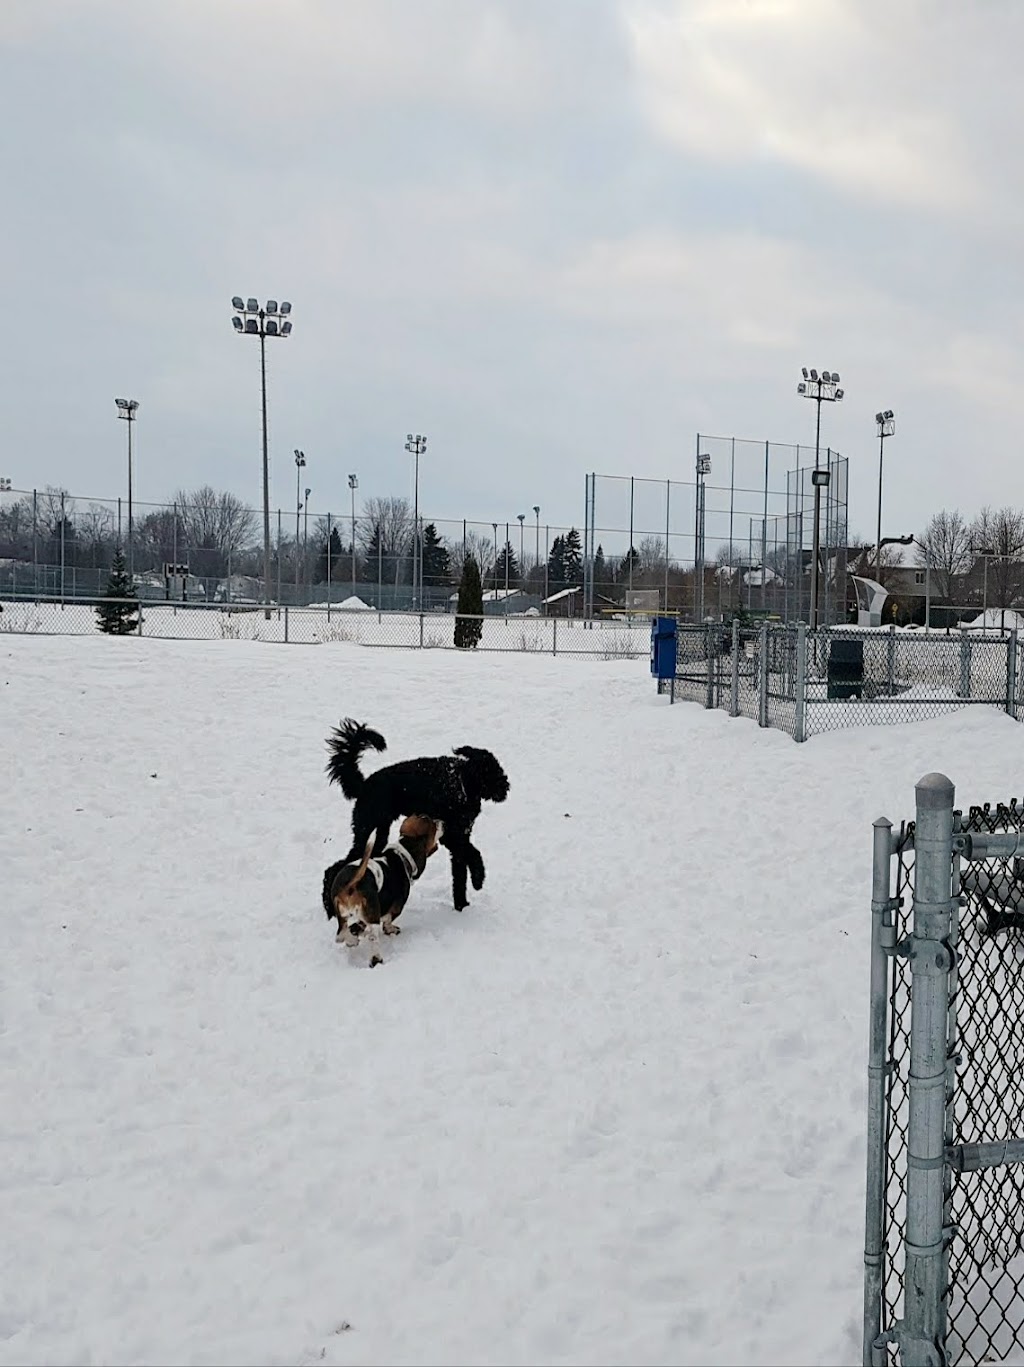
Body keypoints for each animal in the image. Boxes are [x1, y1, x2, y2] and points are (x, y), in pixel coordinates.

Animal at [325, 721, 508, 913]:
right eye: (492, 770)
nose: (505, 785)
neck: (462, 782)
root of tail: (364, 785)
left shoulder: (458, 837)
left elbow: (459, 874)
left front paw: (461, 905)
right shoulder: (453, 836)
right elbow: (473, 854)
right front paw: (478, 879)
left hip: (378, 833)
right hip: (366, 829)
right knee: (335, 868)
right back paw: (330, 906)